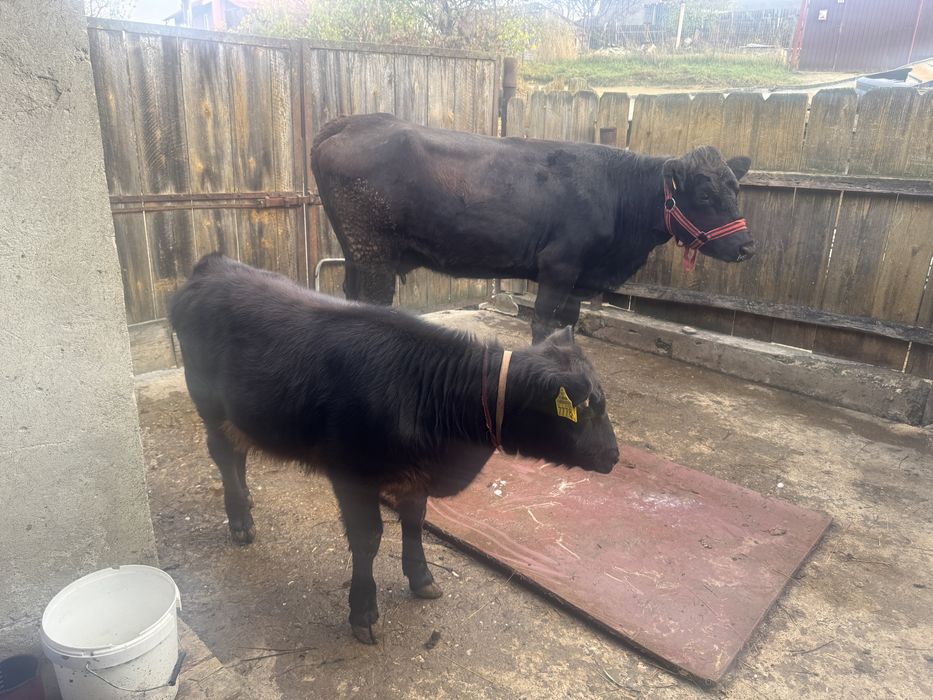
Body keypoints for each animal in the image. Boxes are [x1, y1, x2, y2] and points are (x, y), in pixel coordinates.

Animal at [170, 253, 619, 644]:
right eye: (587, 408)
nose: (615, 457)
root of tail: (214, 265)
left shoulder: (416, 475)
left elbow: (415, 522)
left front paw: (422, 580)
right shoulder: (351, 475)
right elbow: (368, 538)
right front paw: (363, 613)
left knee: (239, 453)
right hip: (209, 406)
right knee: (223, 456)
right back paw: (240, 522)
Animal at [311, 113, 755, 343]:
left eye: (736, 188)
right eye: (705, 195)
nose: (747, 247)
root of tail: (353, 122)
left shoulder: (579, 277)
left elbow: (569, 324)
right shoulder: (559, 266)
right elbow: (543, 324)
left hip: (357, 251)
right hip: (373, 252)